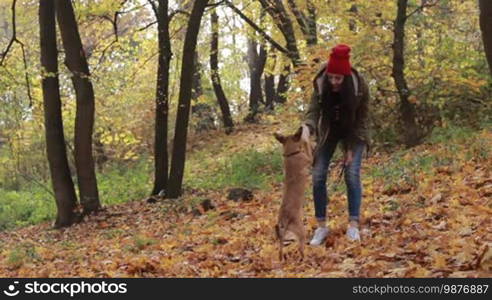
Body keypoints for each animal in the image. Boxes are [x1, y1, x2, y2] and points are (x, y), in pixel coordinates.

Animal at [274, 124, 314, 260]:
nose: (301, 126)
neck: (290, 154)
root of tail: (283, 219)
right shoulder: (309, 158)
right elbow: (307, 146)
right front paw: (306, 138)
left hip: (284, 237)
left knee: (280, 249)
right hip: (301, 231)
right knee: (301, 249)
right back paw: (305, 259)